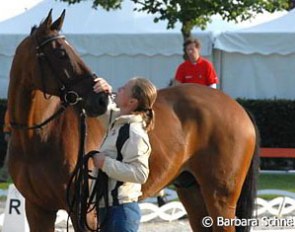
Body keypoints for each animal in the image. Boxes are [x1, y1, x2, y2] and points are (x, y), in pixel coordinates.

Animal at [8, 10, 260, 231]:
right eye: (61, 53)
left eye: (69, 51)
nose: (100, 99)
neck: (40, 136)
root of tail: (237, 108)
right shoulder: (38, 209)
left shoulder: (85, 214)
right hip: (192, 191)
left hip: (220, 198)